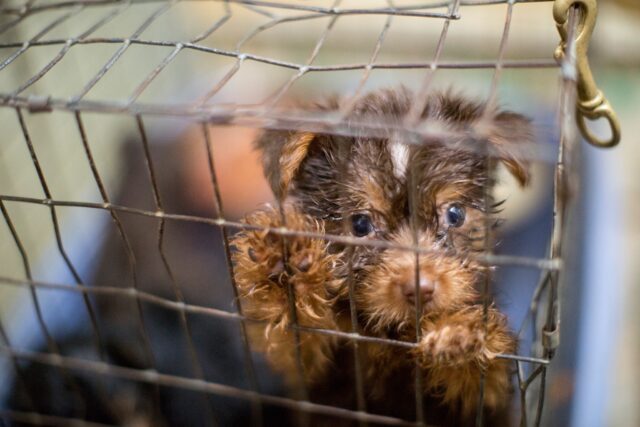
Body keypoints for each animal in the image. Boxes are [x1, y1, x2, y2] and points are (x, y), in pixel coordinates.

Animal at [230, 88, 528, 426]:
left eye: (455, 214)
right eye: (360, 224)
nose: (419, 288)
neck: (392, 332)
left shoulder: (488, 400)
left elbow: (484, 375)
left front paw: (460, 332)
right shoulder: (313, 373)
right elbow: (294, 338)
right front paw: (284, 263)